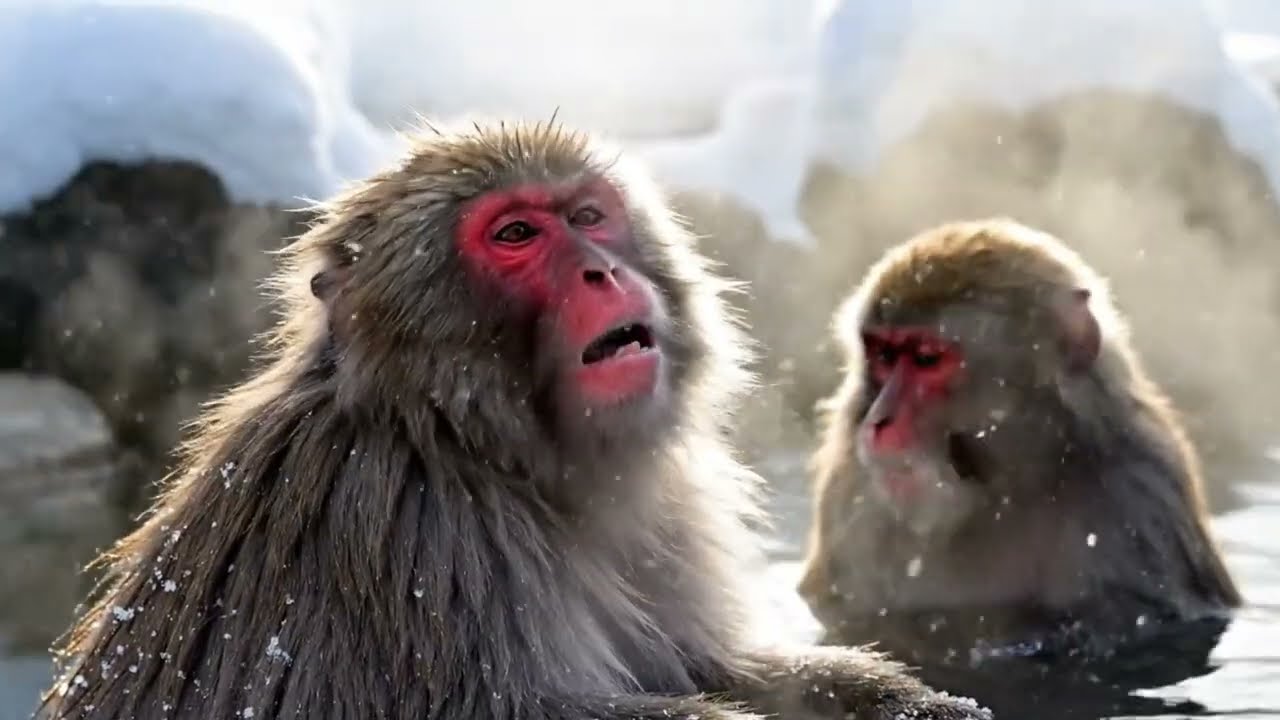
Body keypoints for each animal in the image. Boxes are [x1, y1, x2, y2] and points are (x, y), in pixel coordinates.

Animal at [39, 122, 990, 720]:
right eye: (517, 234)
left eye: (589, 215)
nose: (604, 270)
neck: (470, 440)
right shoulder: (413, 534)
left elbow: (711, 666)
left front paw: (911, 702)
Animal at [796, 218, 1242, 708]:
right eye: (884, 355)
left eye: (927, 358)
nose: (878, 421)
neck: (1002, 488)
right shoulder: (849, 489)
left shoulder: (1143, 496)